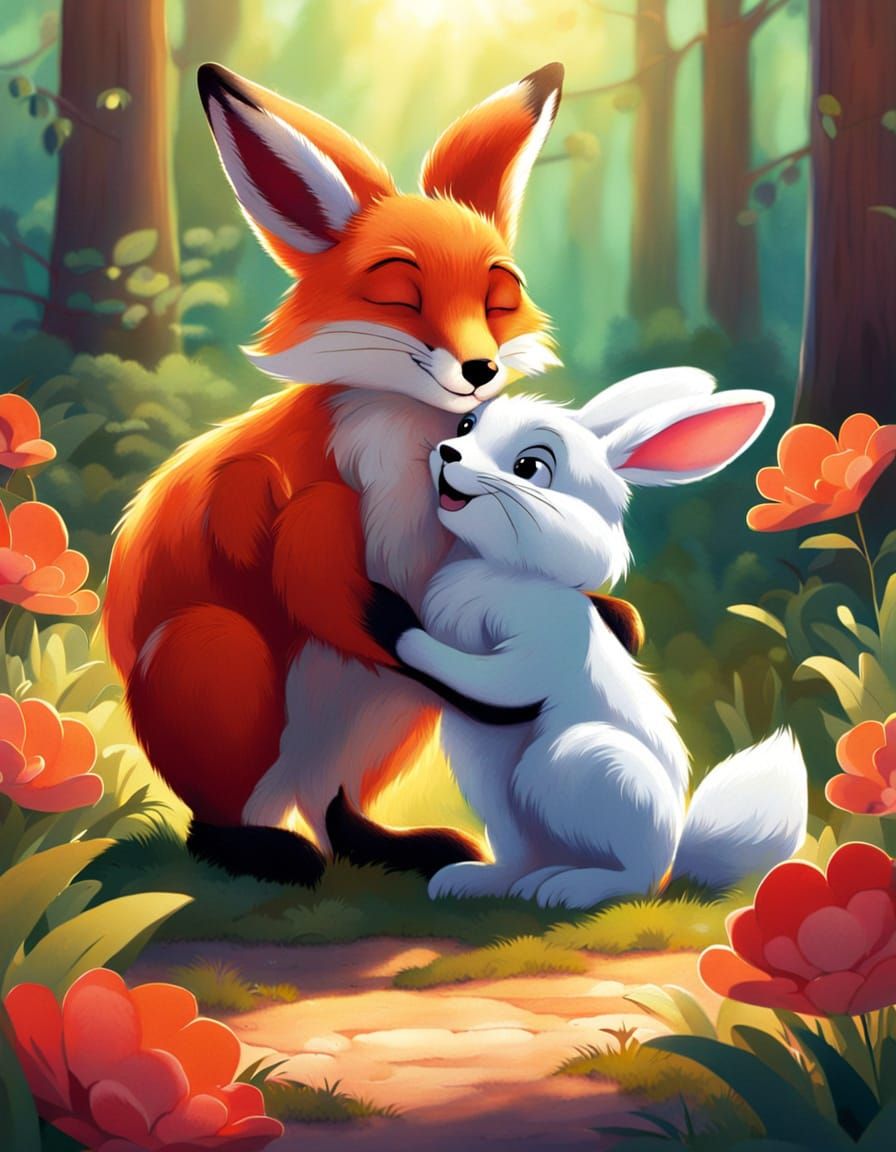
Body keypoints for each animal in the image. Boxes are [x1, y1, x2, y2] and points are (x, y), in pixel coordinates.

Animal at [103, 62, 567, 883]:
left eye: (499, 297)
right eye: (400, 292)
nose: (479, 369)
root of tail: (288, 791)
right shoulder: (314, 512)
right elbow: (322, 580)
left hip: (382, 727)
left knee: (338, 813)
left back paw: (397, 847)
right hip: (212, 651)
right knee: (221, 824)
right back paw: (269, 853)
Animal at [364, 373, 808, 907]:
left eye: (530, 467)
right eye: (467, 424)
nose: (449, 452)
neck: (500, 568)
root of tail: (675, 847)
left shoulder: (547, 639)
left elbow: (492, 677)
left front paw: (388, 619)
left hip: (576, 764)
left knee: (636, 877)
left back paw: (572, 889)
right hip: (495, 795)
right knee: (522, 857)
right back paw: (481, 881)